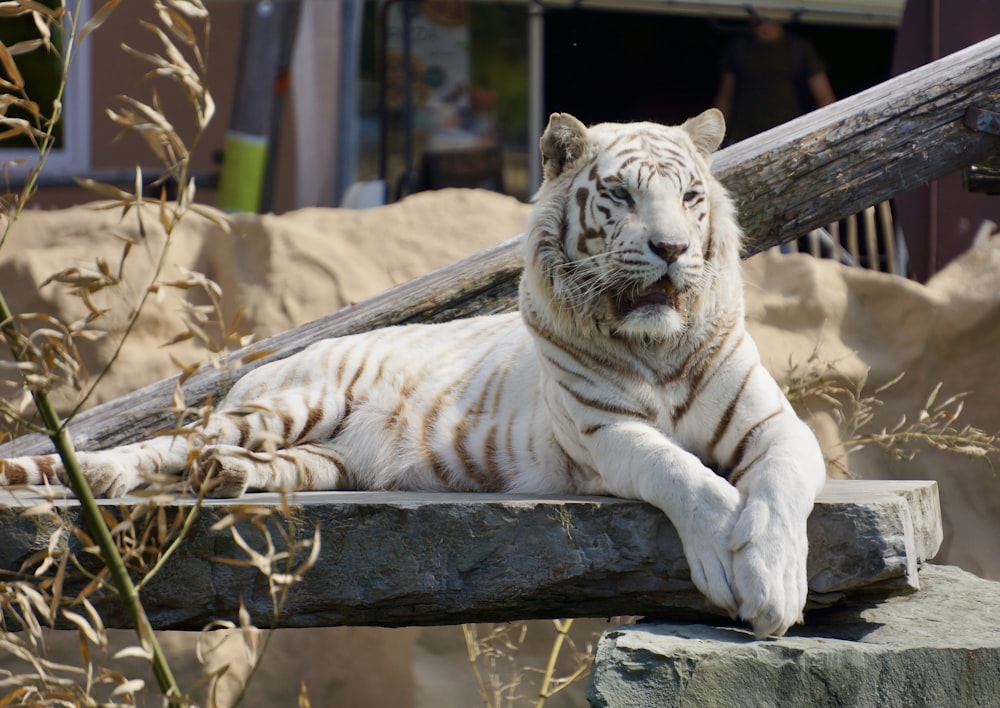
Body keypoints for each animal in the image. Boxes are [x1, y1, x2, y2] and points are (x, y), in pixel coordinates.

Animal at [0, 108, 824, 640]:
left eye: (690, 197)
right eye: (619, 195)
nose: (672, 249)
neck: (657, 348)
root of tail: (258, 370)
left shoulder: (778, 426)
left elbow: (781, 489)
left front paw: (776, 585)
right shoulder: (606, 434)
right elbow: (688, 477)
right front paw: (728, 563)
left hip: (322, 460)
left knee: (232, 462)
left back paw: (226, 478)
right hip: (289, 405)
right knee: (167, 444)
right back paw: (99, 476)